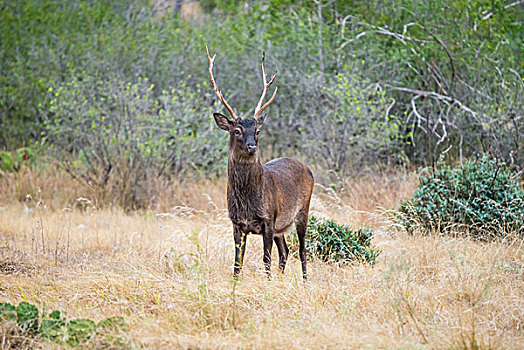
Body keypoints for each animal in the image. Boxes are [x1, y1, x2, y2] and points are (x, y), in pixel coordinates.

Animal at [206, 47, 314, 282]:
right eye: (237, 130)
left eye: (257, 131)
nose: (252, 147)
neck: (248, 200)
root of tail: (307, 167)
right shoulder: (237, 223)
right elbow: (237, 262)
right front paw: (236, 283)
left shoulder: (268, 219)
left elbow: (266, 259)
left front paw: (268, 282)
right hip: (282, 226)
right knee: (285, 251)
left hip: (303, 210)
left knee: (302, 249)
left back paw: (304, 281)